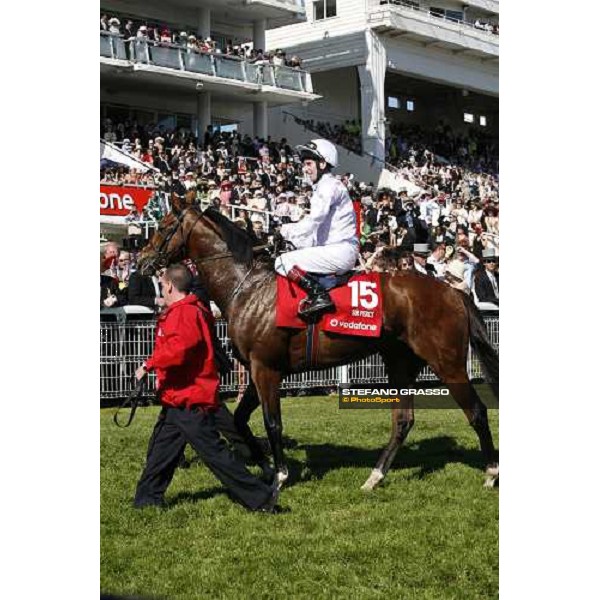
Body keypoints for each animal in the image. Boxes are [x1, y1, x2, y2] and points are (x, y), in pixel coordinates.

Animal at [138, 197, 500, 492]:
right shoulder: (257, 369)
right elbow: (240, 420)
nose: (141, 260)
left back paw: (491, 472)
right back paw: (374, 477)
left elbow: (272, 422)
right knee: (403, 420)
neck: (248, 287)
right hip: (400, 362)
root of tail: (453, 291)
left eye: (164, 226)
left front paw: (280, 476)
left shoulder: (266, 369)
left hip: (447, 362)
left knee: (476, 411)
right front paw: (265, 466)